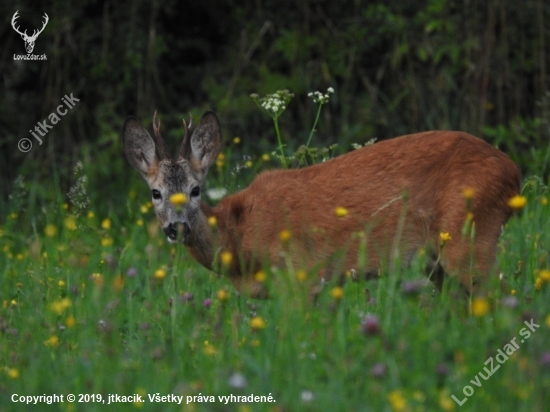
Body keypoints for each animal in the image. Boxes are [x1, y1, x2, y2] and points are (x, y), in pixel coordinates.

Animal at [123, 111, 524, 298]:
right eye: (155, 193)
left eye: (195, 190)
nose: (177, 226)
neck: (237, 237)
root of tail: (513, 172)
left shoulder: (301, 274)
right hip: (437, 262)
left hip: (471, 236)